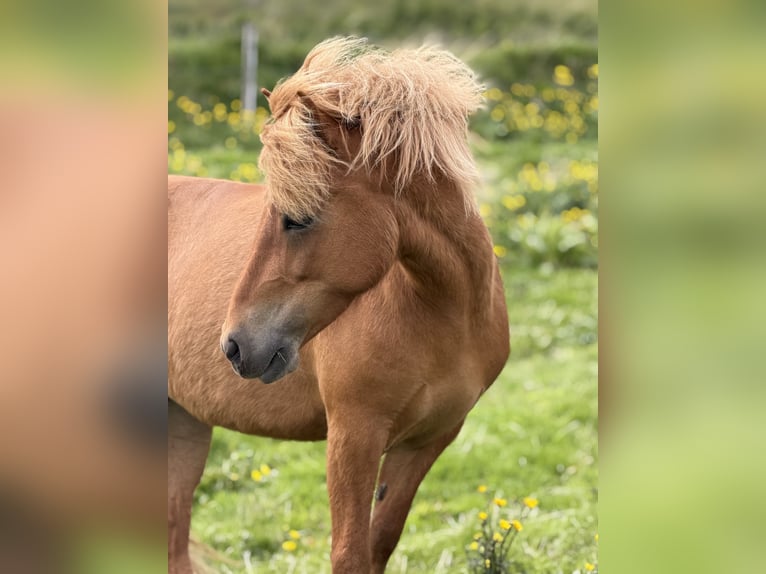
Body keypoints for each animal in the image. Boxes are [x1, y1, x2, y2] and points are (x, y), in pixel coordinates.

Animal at [168, 37, 510, 573]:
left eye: (297, 219)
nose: (235, 345)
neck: (446, 318)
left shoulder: (427, 442)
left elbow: (379, 543)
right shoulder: (354, 436)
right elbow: (350, 553)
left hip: (184, 424)